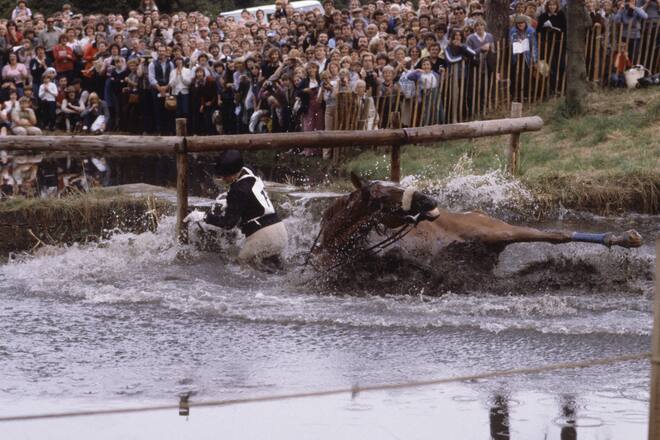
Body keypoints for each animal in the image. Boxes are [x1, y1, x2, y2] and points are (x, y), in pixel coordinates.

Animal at [312, 173, 643, 290]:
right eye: (382, 198)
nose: (430, 202)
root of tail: (478, 212)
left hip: (498, 232)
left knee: (551, 235)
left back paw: (623, 239)